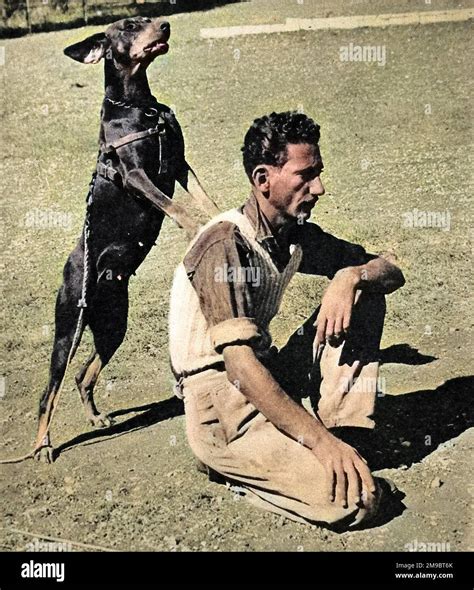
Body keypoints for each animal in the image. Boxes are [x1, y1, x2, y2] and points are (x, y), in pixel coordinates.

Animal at [34, 16, 219, 464]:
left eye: (148, 18)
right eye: (130, 25)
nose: (166, 24)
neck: (139, 107)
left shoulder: (180, 163)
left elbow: (202, 197)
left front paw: (217, 215)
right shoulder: (136, 176)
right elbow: (177, 208)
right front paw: (195, 229)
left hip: (112, 324)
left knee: (83, 375)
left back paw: (96, 417)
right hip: (68, 328)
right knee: (49, 392)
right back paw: (43, 445)